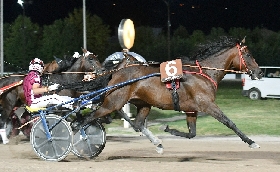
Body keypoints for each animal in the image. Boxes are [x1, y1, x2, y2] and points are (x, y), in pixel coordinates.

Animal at [80, 37, 264, 153]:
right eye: (248, 55)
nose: (259, 72)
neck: (204, 73)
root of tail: (117, 72)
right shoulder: (207, 104)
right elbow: (229, 122)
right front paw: (252, 142)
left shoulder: (191, 109)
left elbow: (192, 134)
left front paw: (167, 128)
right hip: (112, 103)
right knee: (86, 119)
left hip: (143, 104)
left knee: (138, 124)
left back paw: (158, 144)